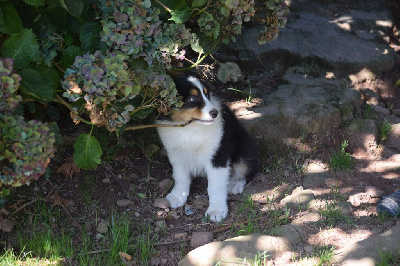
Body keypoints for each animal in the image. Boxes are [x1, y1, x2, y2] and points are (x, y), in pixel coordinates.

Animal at [158, 75, 260, 222]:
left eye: (207, 95)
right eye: (192, 99)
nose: (215, 113)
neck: (190, 128)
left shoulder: (218, 155)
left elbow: (215, 186)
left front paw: (216, 211)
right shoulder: (176, 153)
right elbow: (180, 177)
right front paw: (177, 196)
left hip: (245, 148)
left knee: (246, 169)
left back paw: (234, 184)